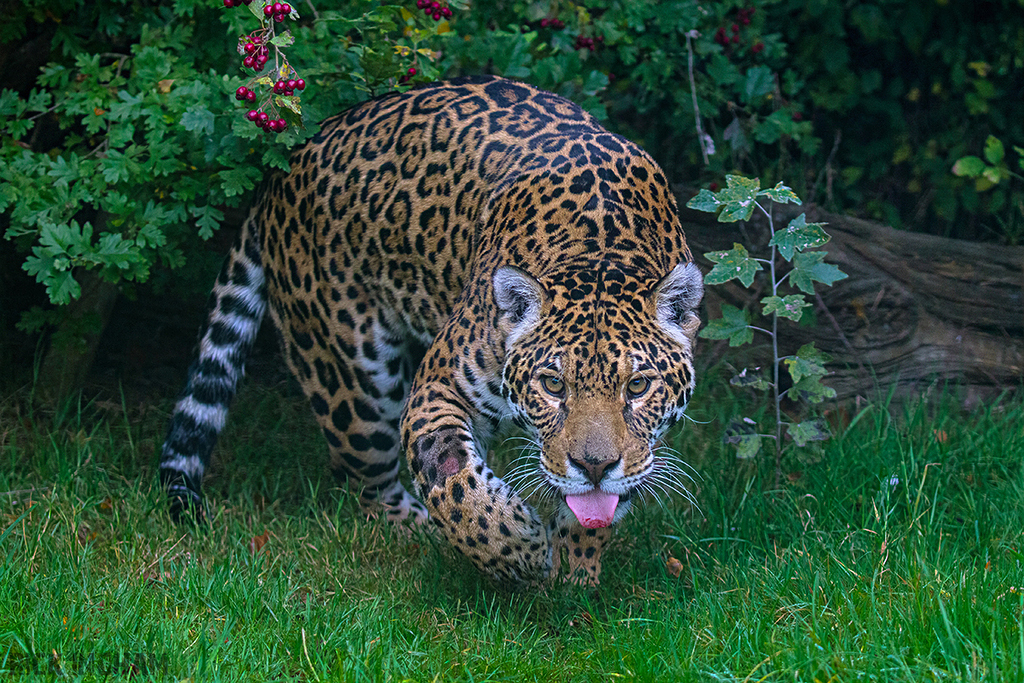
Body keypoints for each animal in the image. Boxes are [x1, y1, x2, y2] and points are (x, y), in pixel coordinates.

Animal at [159, 75, 703, 585]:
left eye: (638, 386)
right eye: (553, 385)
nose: (593, 466)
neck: (598, 251)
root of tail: (283, 168)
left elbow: (600, 509)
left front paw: (576, 570)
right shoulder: (439, 386)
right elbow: (454, 482)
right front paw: (521, 548)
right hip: (354, 383)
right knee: (369, 485)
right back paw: (420, 533)